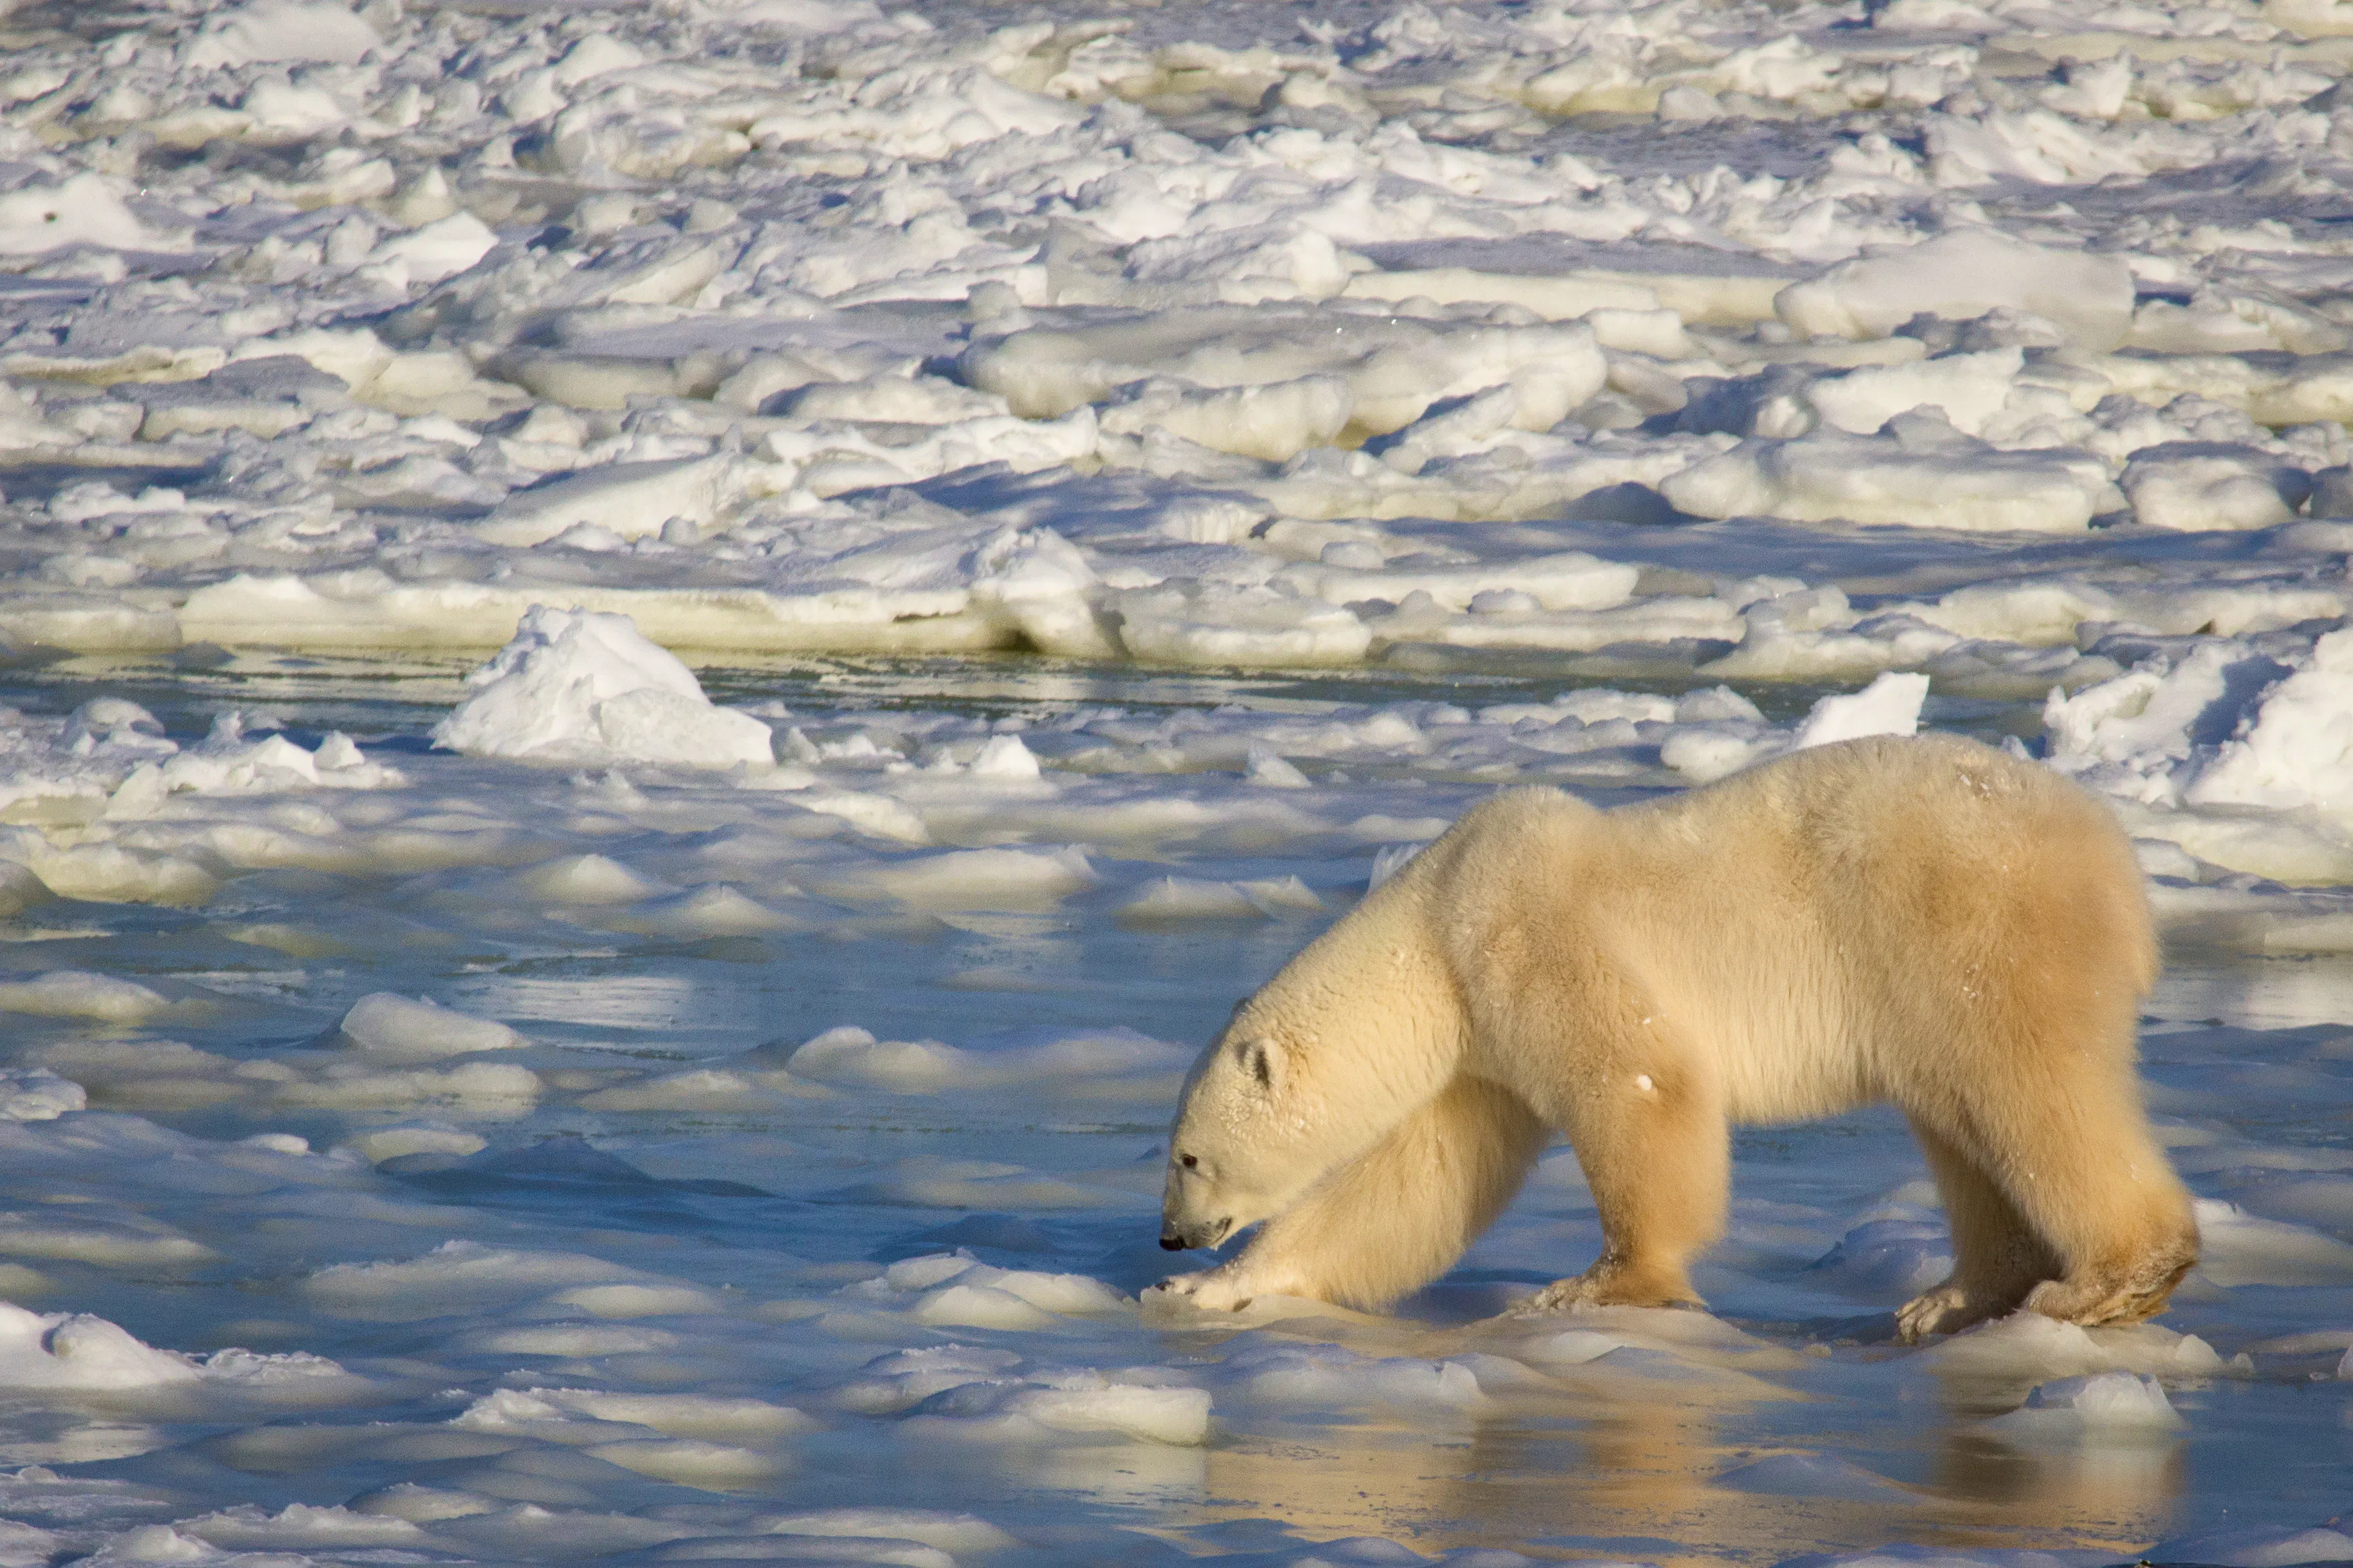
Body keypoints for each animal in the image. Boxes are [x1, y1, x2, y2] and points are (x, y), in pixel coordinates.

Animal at [1148, 733, 2198, 1342]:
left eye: (1188, 1154)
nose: (1170, 1235)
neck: (1433, 927)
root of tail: (2112, 854)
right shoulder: (1476, 1046)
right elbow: (1417, 1181)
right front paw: (1215, 1291)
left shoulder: (1530, 937)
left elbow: (1639, 1081)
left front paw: (1592, 1286)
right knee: (1961, 1120)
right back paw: (1956, 1297)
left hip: (1970, 926)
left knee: (2027, 1084)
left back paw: (2107, 1281)